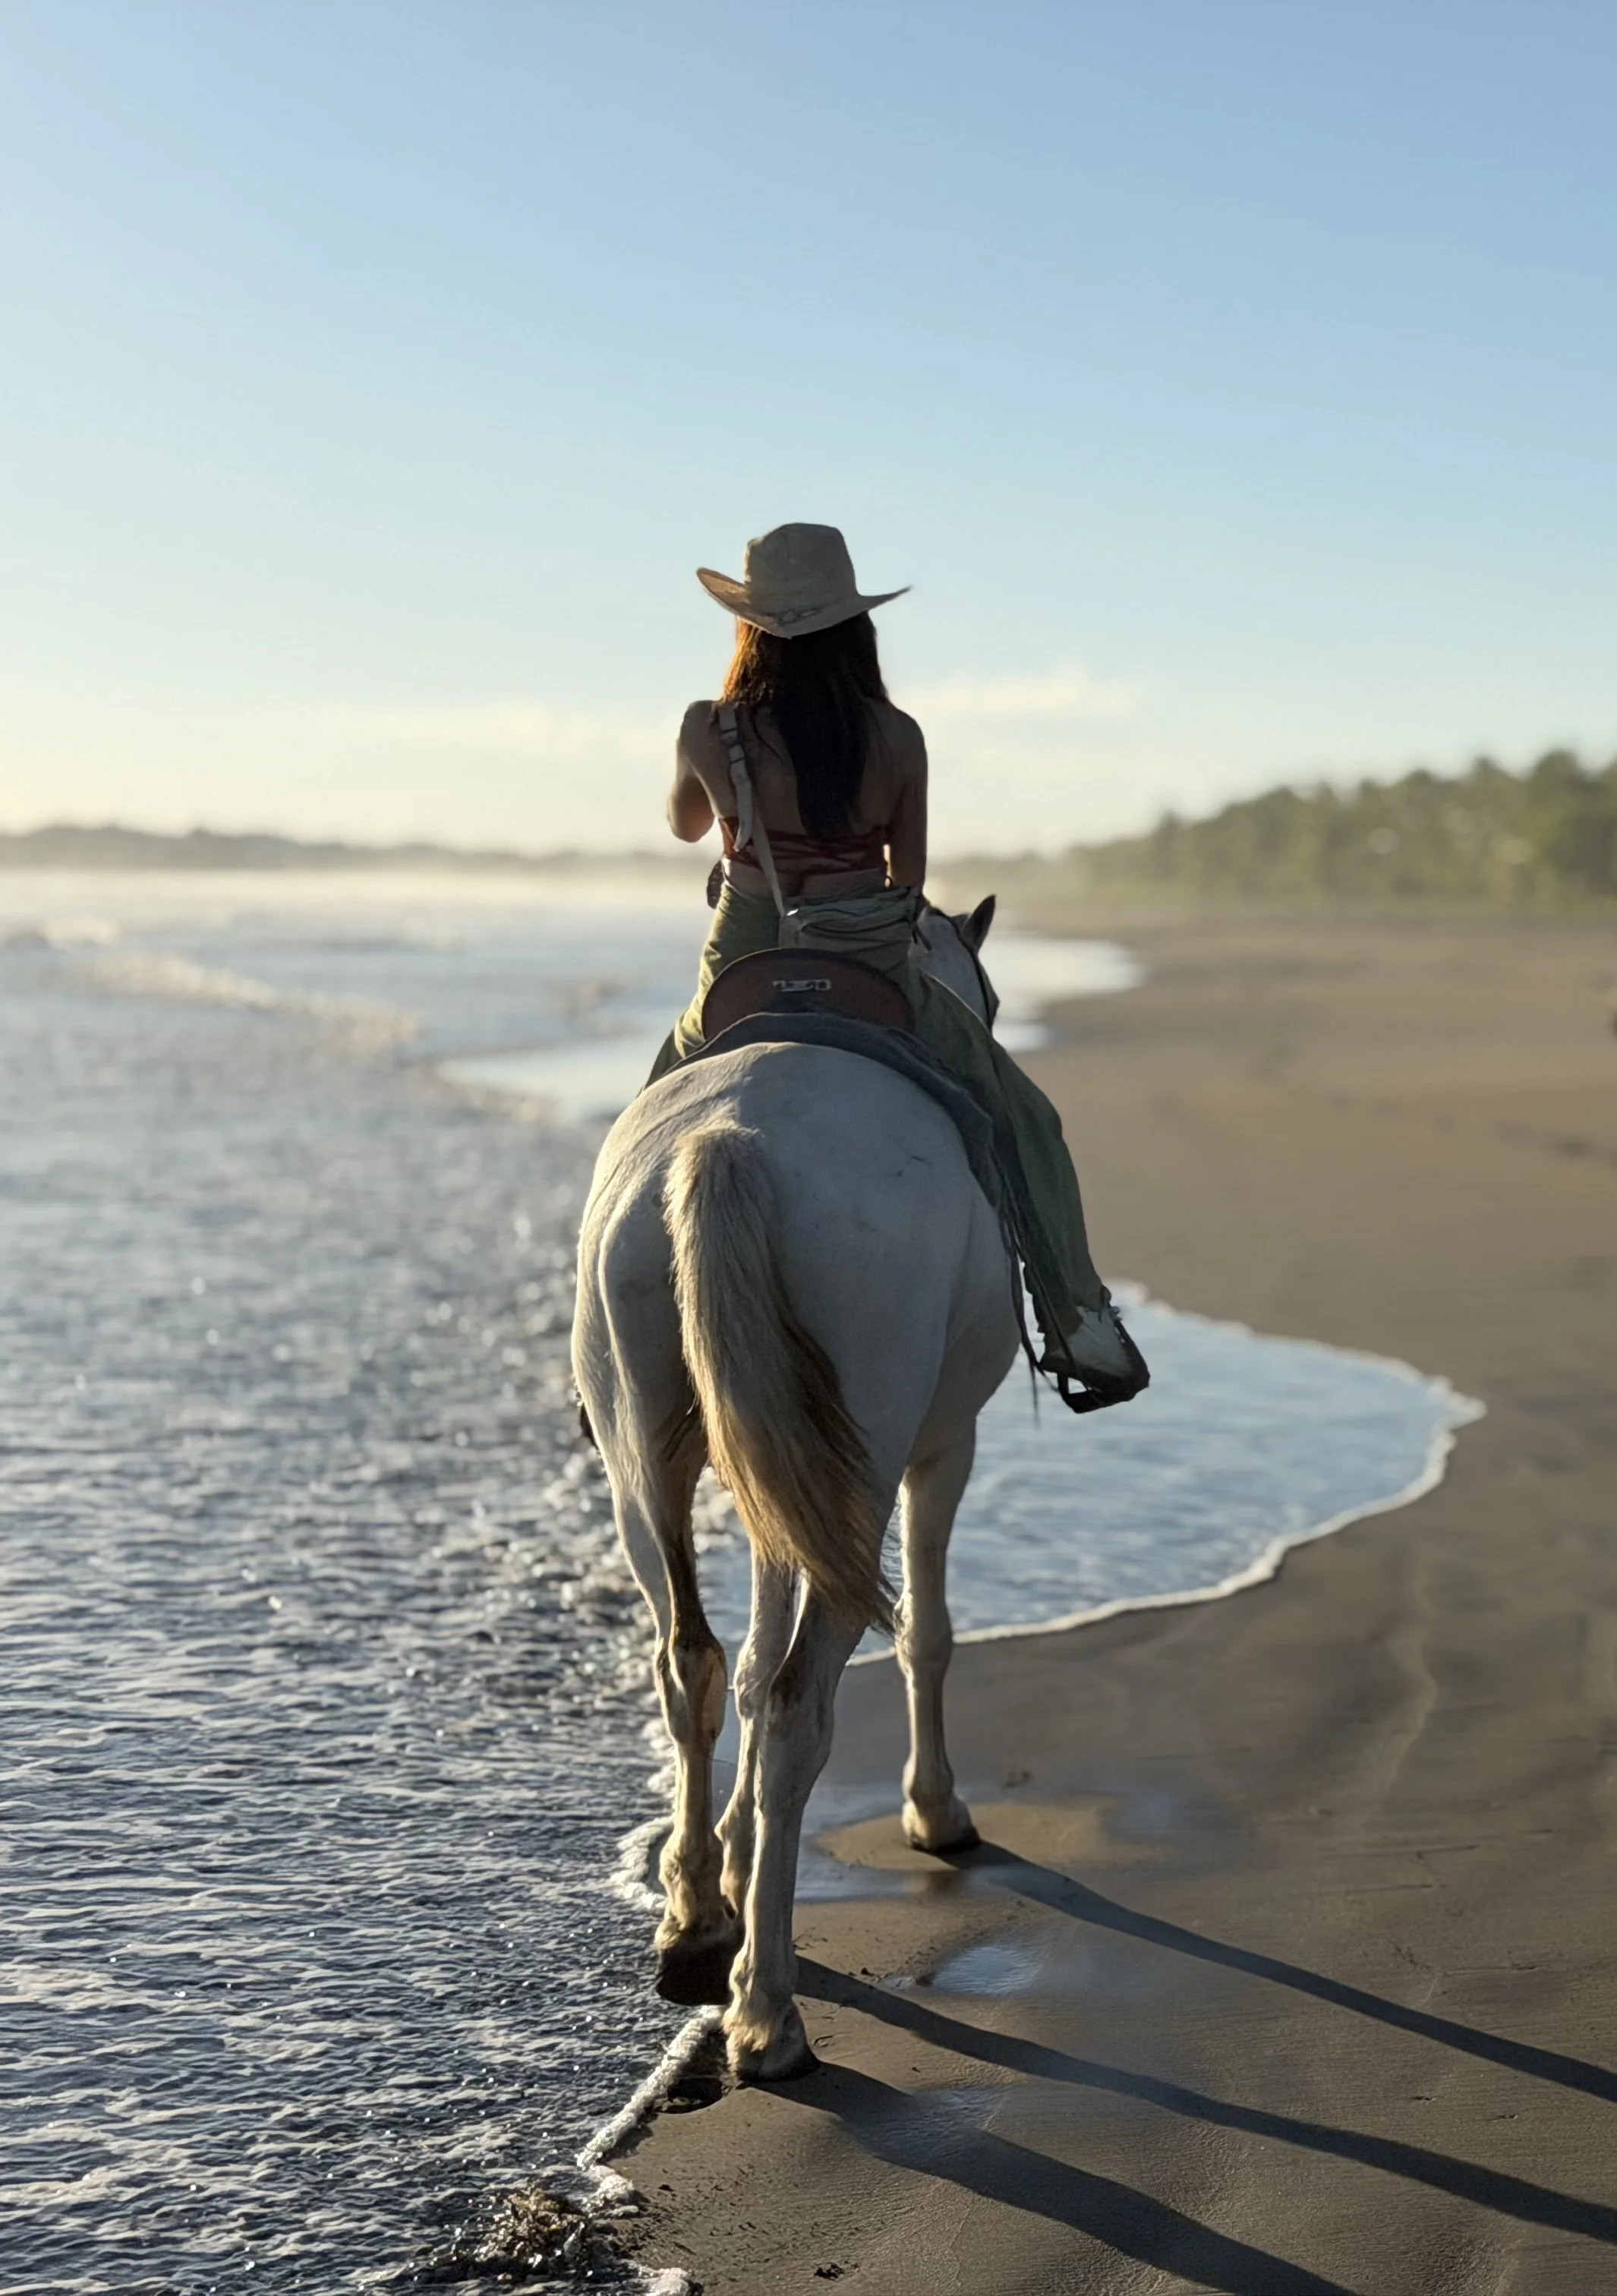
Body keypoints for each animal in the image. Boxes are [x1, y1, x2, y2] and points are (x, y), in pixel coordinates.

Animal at [571, 900, 1019, 2081]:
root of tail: (728, 1142)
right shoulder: (938, 1448)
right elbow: (926, 1633)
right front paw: (935, 1809)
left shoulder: (780, 1475)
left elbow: (753, 1647)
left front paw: (726, 1861)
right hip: (858, 1464)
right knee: (794, 1709)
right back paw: (766, 2008)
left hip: (643, 1461)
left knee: (693, 1666)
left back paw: (696, 1922)